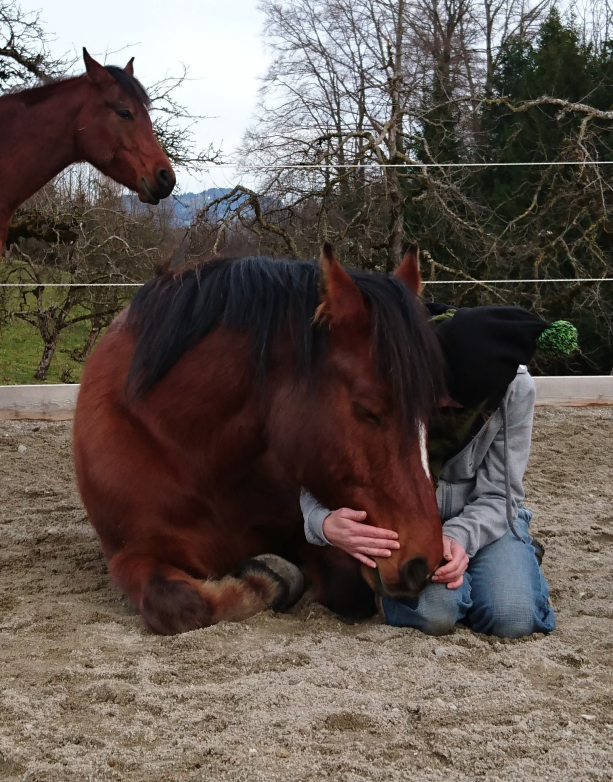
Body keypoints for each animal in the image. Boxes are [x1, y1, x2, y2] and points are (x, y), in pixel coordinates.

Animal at [73, 245, 446, 635]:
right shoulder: (131, 554)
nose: (423, 565)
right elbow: (180, 602)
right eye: (367, 409)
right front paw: (266, 579)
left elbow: (348, 588)